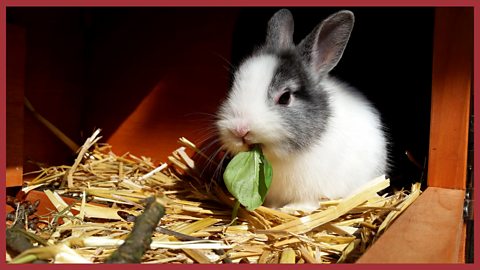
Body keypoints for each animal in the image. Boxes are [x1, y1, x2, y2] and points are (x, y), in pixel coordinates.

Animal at [216, 8, 388, 213]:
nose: (239, 130)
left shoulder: (311, 190)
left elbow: (307, 202)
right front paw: (275, 208)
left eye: (285, 97)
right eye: (234, 84)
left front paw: (290, 210)